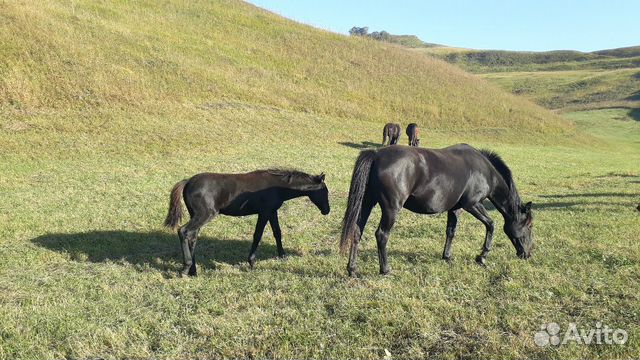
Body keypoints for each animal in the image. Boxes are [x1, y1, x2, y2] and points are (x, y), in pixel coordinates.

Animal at [162, 170, 332, 278]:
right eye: (324, 191)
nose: (327, 210)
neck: (277, 186)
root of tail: (187, 182)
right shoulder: (264, 212)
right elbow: (258, 235)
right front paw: (251, 262)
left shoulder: (272, 212)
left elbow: (277, 232)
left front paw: (283, 256)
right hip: (204, 215)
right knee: (184, 231)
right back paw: (186, 268)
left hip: (196, 216)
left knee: (192, 237)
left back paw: (194, 271)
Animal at [342, 143, 532, 276]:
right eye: (529, 226)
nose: (528, 254)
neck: (485, 172)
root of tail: (376, 154)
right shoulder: (472, 205)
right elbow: (491, 224)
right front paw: (482, 257)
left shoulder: (455, 209)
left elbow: (451, 232)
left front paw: (447, 257)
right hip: (391, 209)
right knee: (382, 235)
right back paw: (385, 270)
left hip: (366, 203)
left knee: (357, 231)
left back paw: (352, 269)